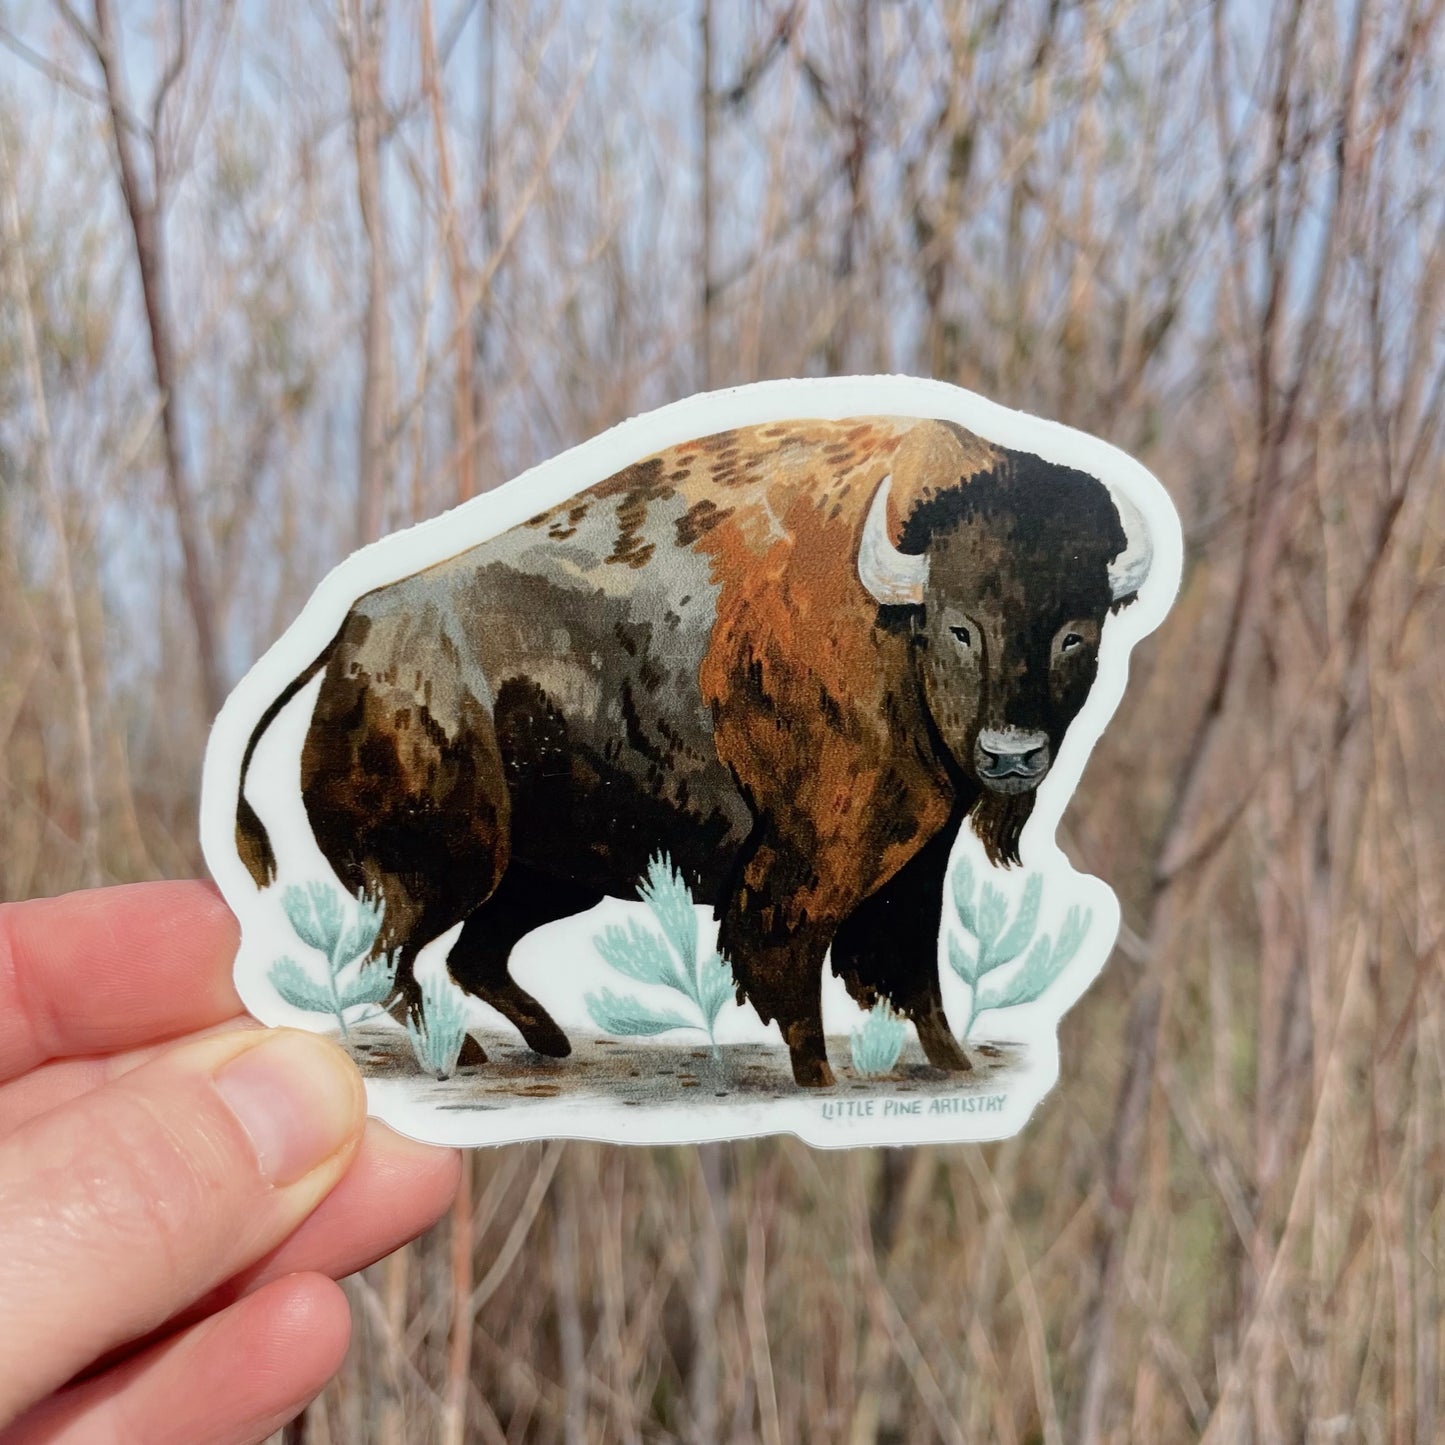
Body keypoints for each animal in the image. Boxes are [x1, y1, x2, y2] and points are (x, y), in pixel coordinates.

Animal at [235, 416, 1151, 1087]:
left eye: (1075, 632)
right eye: (960, 627)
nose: (1011, 754)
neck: (895, 618)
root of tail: (353, 631)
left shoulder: (917, 854)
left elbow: (913, 968)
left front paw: (953, 1064)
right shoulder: (809, 865)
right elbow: (795, 966)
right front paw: (820, 1077)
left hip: (548, 875)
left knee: (467, 955)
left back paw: (543, 1044)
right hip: (456, 865)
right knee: (392, 958)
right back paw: (461, 1053)